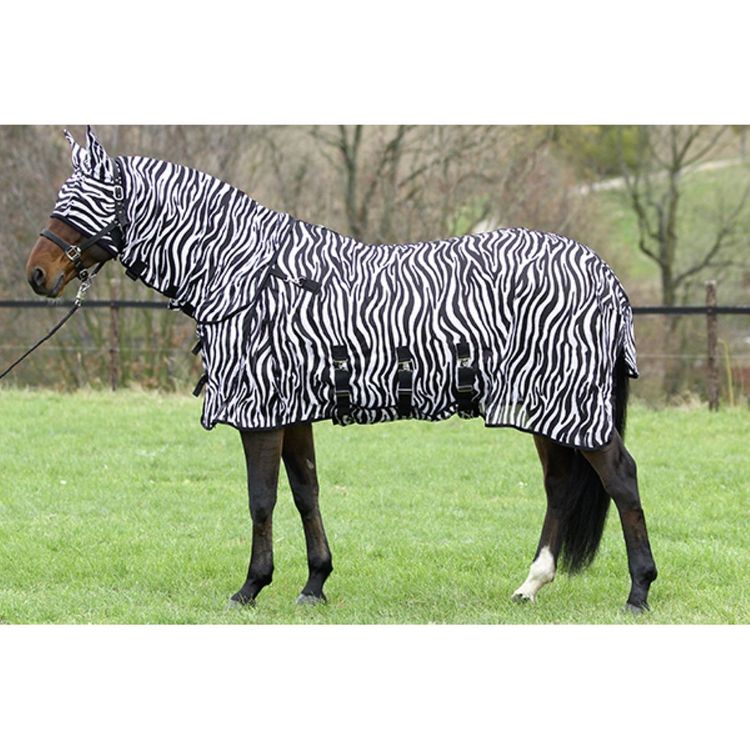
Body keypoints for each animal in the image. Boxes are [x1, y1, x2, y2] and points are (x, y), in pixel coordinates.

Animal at [25, 127, 657, 613]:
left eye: (76, 205)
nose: (36, 275)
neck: (248, 277)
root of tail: (605, 276)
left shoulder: (259, 414)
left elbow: (261, 499)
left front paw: (250, 587)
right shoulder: (292, 413)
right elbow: (306, 493)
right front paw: (314, 583)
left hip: (567, 404)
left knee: (621, 478)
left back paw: (639, 591)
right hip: (546, 407)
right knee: (560, 488)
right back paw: (531, 585)